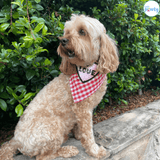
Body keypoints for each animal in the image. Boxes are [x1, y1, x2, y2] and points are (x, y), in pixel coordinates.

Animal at [0, 14, 119, 159]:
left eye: (82, 32)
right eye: (67, 31)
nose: (62, 40)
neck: (86, 69)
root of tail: (16, 141)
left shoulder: (79, 111)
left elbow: (80, 127)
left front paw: (79, 136)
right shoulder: (83, 109)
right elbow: (88, 134)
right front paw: (95, 151)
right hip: (53, 125)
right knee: (44, 156)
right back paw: (68, 150)